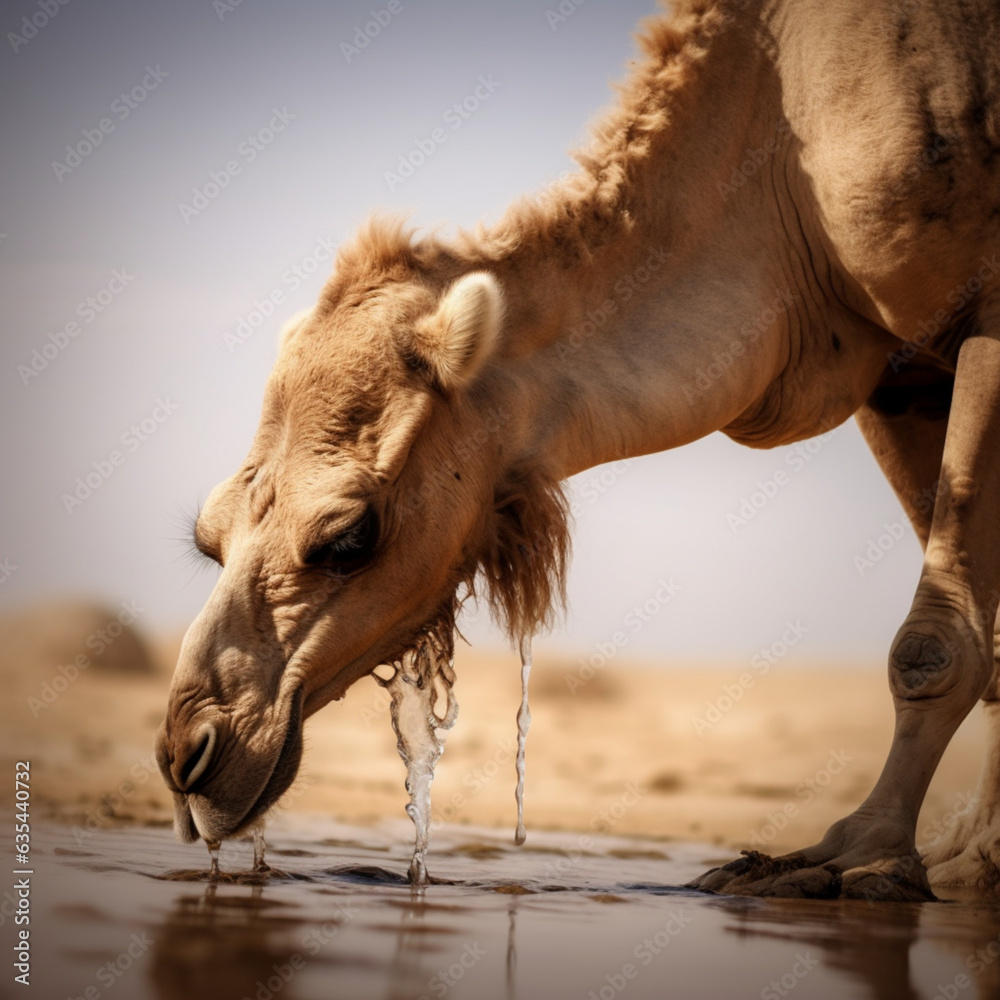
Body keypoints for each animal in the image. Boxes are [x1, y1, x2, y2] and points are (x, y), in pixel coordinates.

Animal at [156, 0, 1000, 900]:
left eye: (349, 535)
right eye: (207, 537)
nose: (187, 755)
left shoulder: (981, 310)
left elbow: (928, 646)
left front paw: (859, 857)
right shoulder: (896, 373)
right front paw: (974, 856)